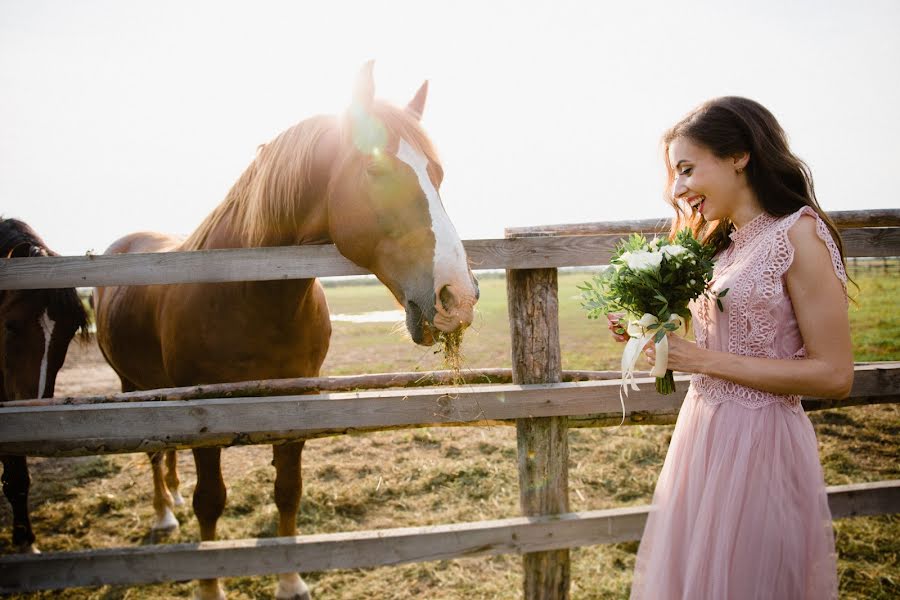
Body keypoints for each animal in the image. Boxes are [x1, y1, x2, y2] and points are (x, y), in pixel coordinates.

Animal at [93, 63, 478, 596]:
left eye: (437, 174)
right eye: (376, 170)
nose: (458, 296)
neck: (249, 294)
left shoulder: (297, 400)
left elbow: (288, 491)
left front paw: (291, 580)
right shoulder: (204, 414)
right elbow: (210, 501)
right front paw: (210, 585)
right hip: (131, 383)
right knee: (154, 456)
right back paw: (163, 514)